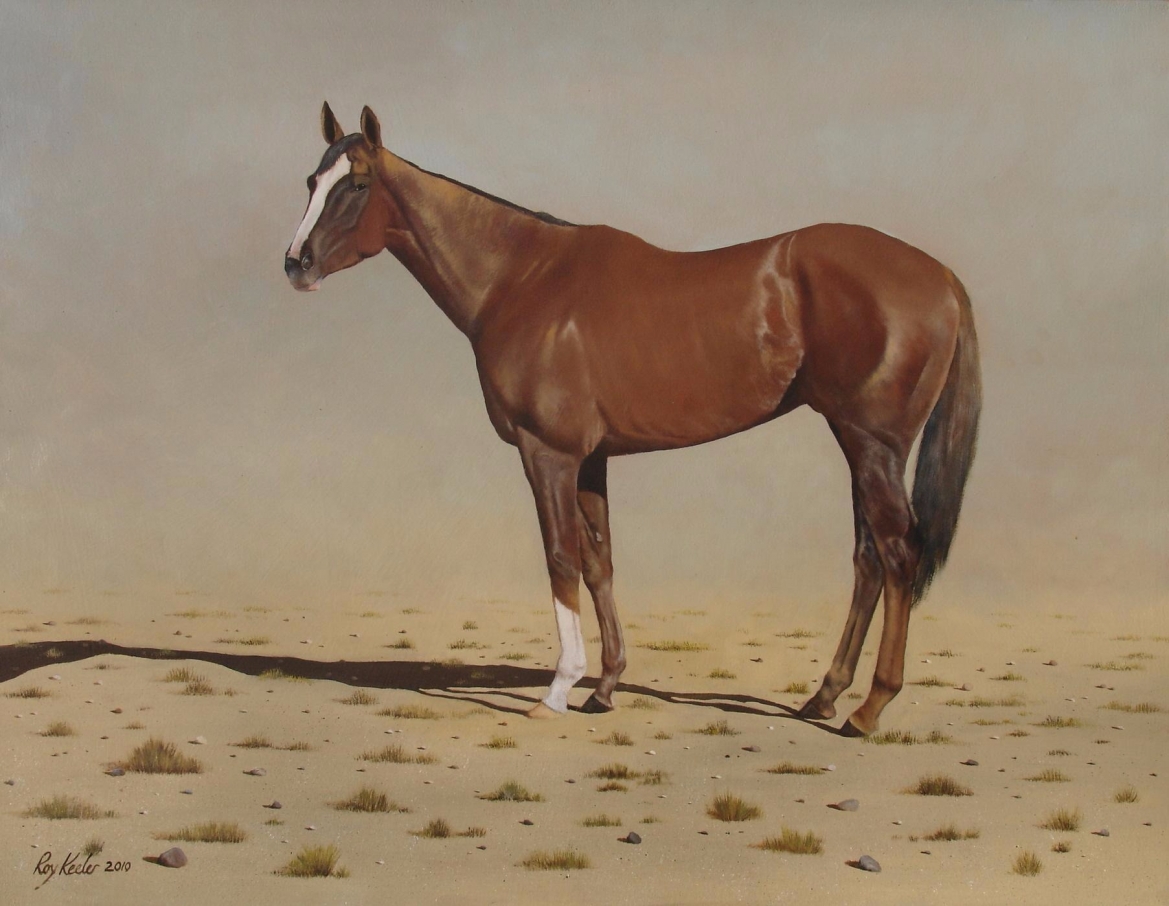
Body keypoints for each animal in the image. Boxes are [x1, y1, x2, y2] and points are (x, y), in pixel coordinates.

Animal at [284, 103, 981, 736]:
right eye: (312, 180)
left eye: (357, 184)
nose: (296, 264)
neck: (521, 278)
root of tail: (942, 275)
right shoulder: (592, 458)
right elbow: (599, 562)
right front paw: (605, 686)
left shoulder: (548, 453)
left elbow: (560, 557)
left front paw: (558, 689)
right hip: (859, 443)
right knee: (869, 559)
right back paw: (825, 697)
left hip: (872, 444)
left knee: (897, 554)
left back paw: (869, 709)